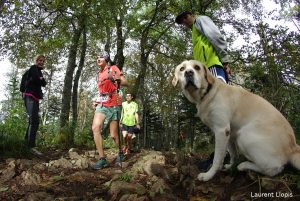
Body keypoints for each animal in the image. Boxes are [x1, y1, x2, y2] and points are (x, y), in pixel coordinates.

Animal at [172, 60, 300, 182]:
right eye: (182, 69)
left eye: (197, 67)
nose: (188, 73)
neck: (207, 93)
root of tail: (293, 147)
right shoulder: (227, 133)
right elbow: (232, 153)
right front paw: (230, 166)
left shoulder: (221, 130)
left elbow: (217, 158)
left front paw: (209, 175)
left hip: (244, 136)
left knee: (274, 168)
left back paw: (244, 166)